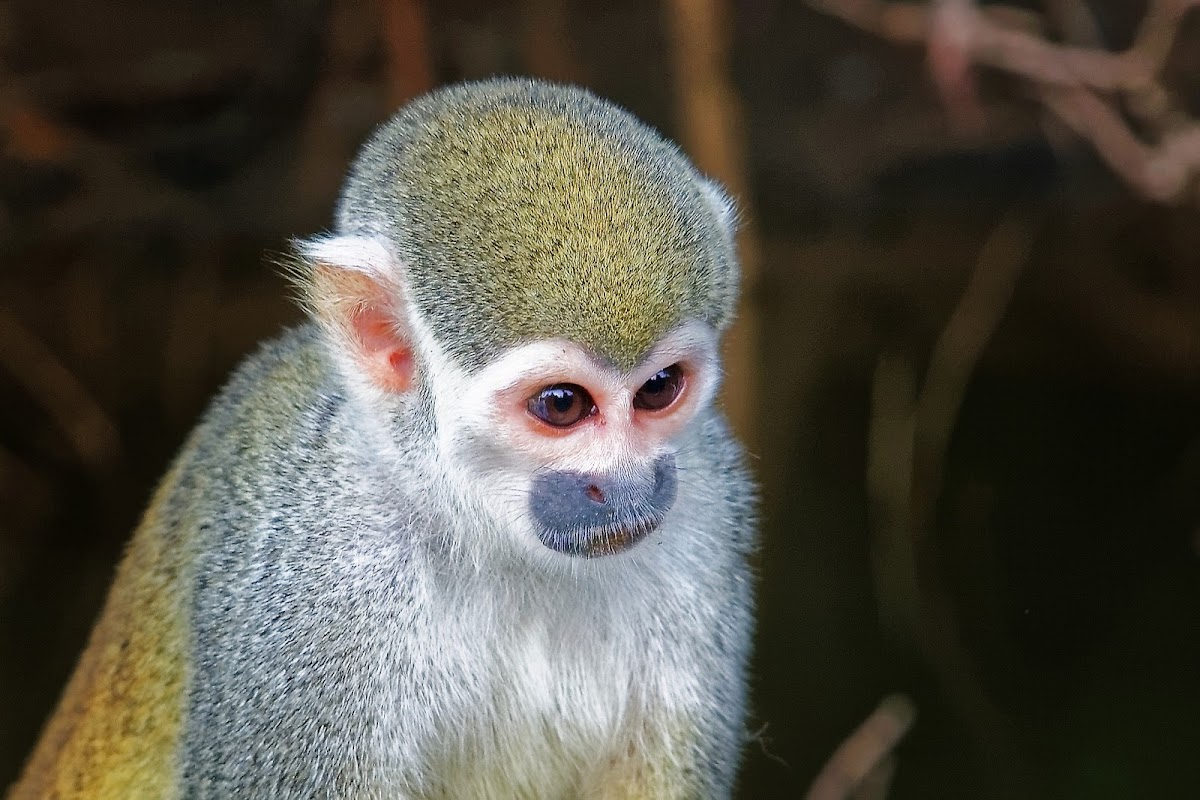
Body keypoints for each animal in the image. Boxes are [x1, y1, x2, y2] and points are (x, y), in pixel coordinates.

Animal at [9, 76, 753, 800]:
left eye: (659, 388)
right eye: (562, 405)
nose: (623, 486)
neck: (488, 535)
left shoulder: (708, 515)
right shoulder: (314, 586)